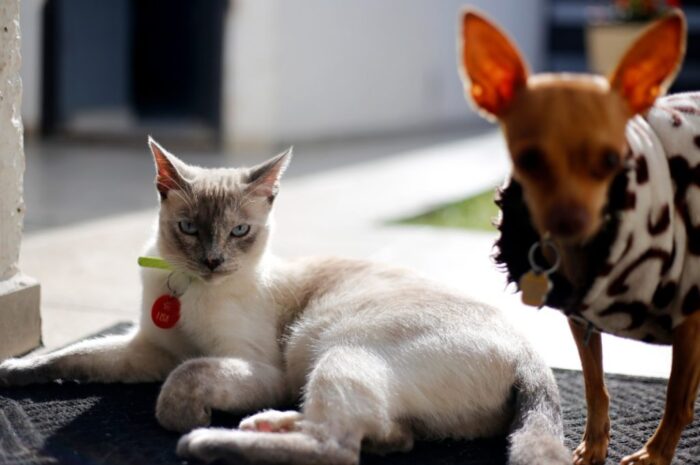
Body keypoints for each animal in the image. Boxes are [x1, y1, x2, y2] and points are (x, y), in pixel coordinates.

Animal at [0, 138, 568, 464]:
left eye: (239, 232)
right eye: (189, 229)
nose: (212, 261)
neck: (190, 291)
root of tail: (532, 356)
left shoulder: (253, 366)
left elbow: (184, 376)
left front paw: (181, 417)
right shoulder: (147, 350)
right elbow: (69, 357)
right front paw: (13, 371)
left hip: (332, 351)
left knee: (339, 447)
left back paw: (206, 443)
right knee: (388, 436)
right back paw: (263, 423)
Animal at [460, 7, 696, 464]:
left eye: (612, 160)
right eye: (527, 160)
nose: (569, 220)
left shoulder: (690, 315)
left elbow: (677, 396)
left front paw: (655, 455)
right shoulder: (580, 315)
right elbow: (594, 385)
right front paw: (593, 446)